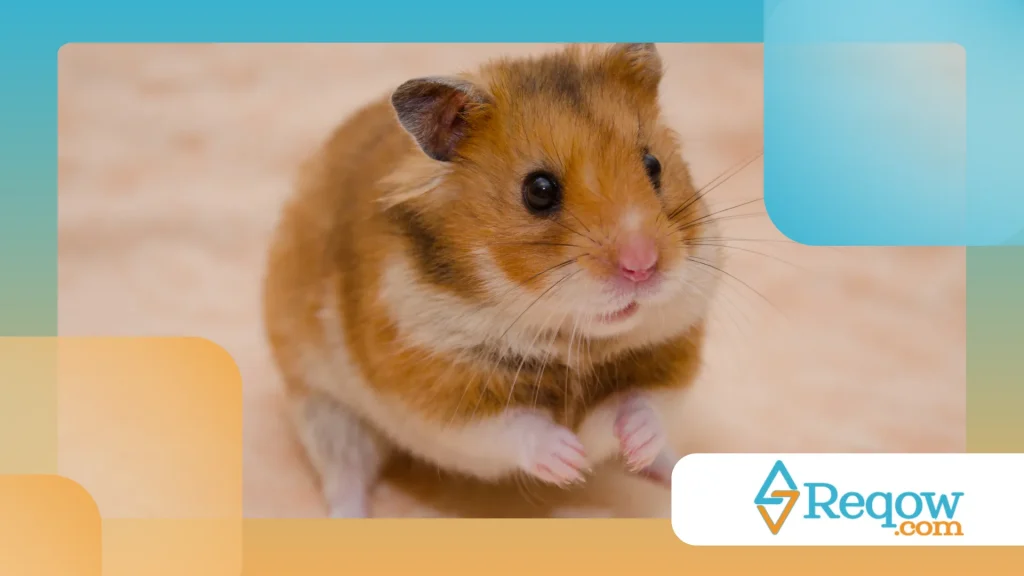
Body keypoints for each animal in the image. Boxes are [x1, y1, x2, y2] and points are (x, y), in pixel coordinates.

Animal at [262, 43, 721, 518]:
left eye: (653, 165)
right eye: (539, 190)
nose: (643, 266)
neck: (573, 340)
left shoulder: (670, 352)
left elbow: (641, 404)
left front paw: (629, 447)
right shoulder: (436, 390)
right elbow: (515, 426)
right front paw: (571, 462)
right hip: (324, 409)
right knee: (345, 475)